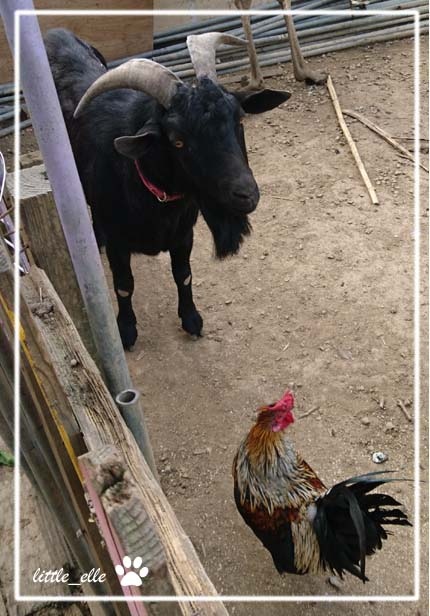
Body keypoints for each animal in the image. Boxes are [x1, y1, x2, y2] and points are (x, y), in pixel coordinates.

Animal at [45, 28, 290, 349]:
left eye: (239, 120)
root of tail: (54, 33)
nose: (245, 194)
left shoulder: (183, 234)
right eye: (177, 140)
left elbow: (183, 275)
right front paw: (126, 330)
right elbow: (124, 286)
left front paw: (191, 319)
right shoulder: (119, 244)